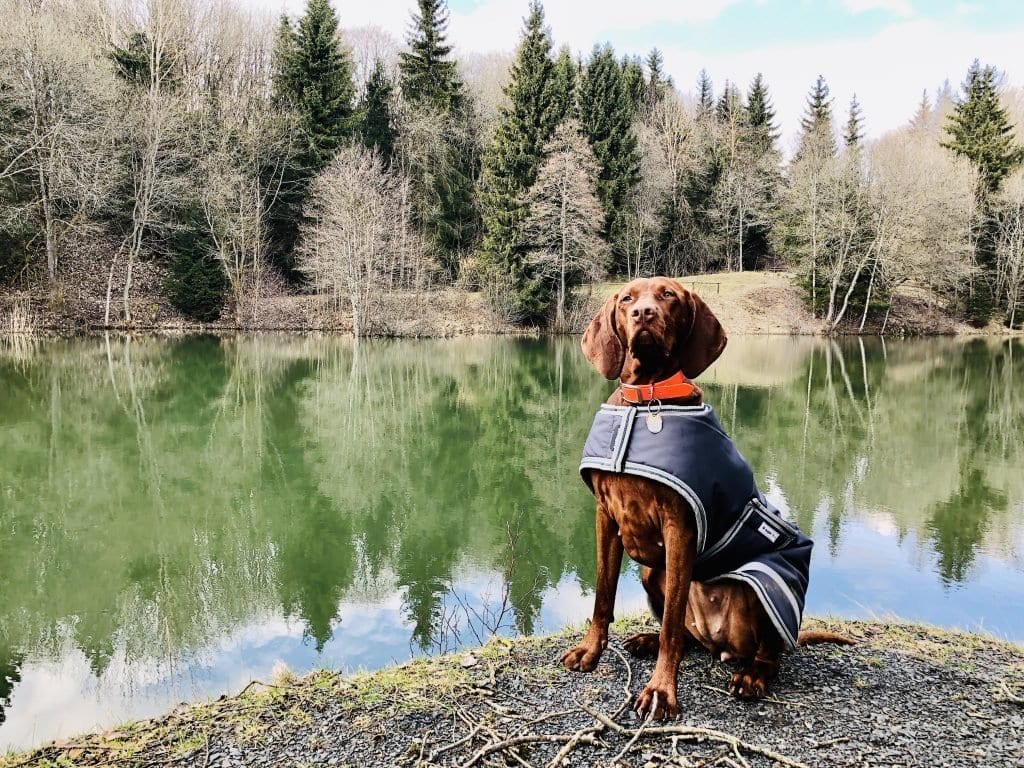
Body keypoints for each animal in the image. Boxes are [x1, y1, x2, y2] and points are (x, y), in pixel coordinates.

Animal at [561, 278, 847, 720]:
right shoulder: (605, 516)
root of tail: (720, 643)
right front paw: (590, 651)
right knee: (686, 634)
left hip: (759, 587)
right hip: (652, 572)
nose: (644, 314)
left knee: (767, 653)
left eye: (668, 295)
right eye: (627, 298)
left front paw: (661, 691)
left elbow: (670, 626)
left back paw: (751, 677)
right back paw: (647, 639)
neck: (647, 400)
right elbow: (603, 595)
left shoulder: (679, 526)